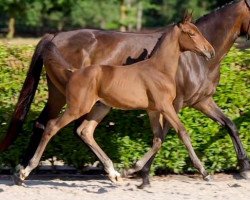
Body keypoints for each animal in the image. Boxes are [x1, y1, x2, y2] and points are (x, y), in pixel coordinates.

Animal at [1, 0, 250, 188]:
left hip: (98, 105)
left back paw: (110, 172)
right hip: (68, 101)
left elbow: (228, 124)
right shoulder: (173, 104)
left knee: (81, 130)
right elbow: (178, 133)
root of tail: (54, 37)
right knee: (47, 125)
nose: (210, 51)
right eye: (191, 33)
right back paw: (23, 172)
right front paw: (146, 174)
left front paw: (244, 167)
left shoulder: (198, 101)